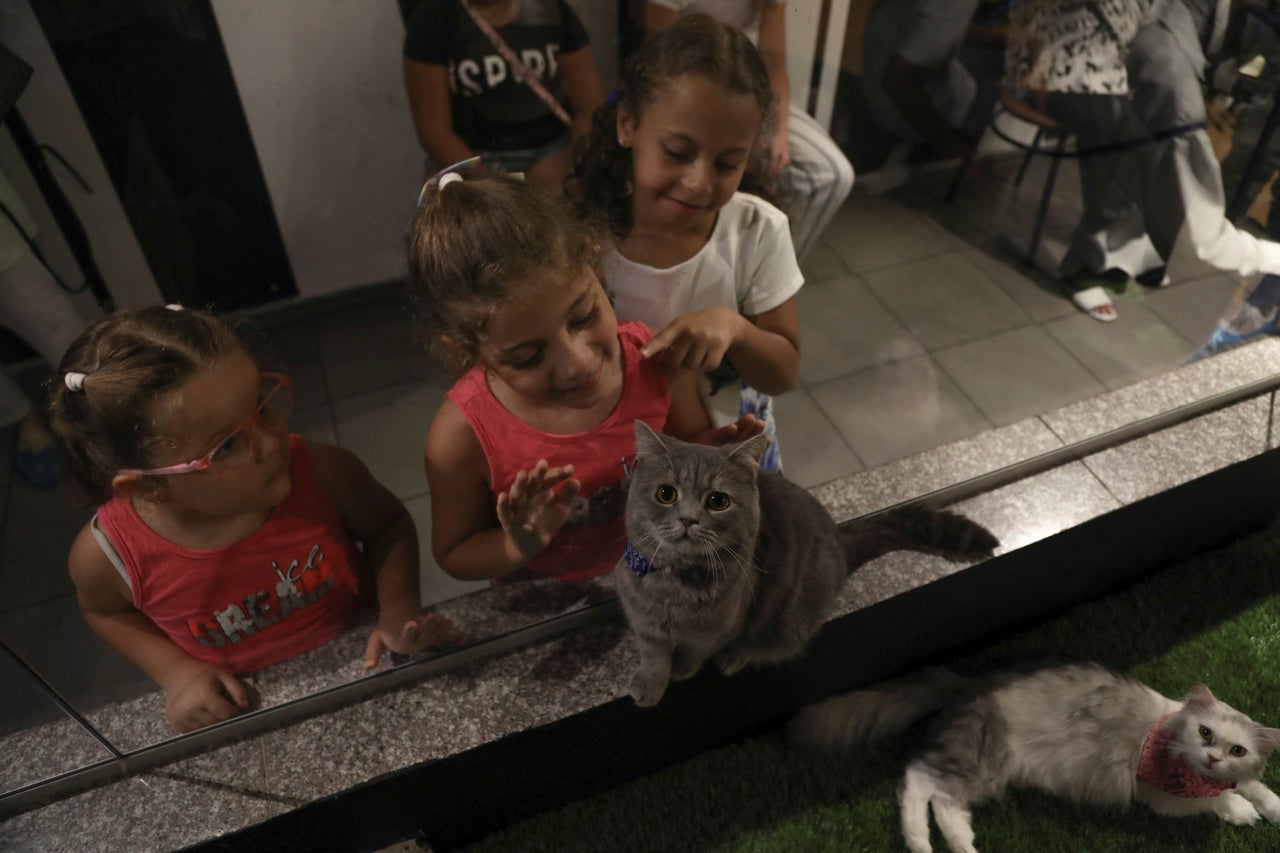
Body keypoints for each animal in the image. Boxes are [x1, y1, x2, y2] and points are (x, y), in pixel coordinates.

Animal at [611, 417, 998, 701]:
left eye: (718, 501)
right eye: (666, 494)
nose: (689, 519)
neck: (672, 589)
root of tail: (840, 539)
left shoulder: (724, 626)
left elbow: (696, 649)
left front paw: (683, 669)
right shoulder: (640, 619)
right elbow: (653, 655)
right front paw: (649, 684)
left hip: (793, 614)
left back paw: (735, 657)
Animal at [788, 655, 1280, 850]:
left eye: (1236, 748)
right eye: (1204, 733)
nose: (1213, 758)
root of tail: (971, 680)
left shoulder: (1236, 774)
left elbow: (1255, 786)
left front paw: (1269, 806)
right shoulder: (1157, 794)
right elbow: (1216, 801)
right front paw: (1239, 811)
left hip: (983, 771)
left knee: (944, 802)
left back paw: (963, 846)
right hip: (981, 761)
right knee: (916, 781)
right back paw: (920, 843)